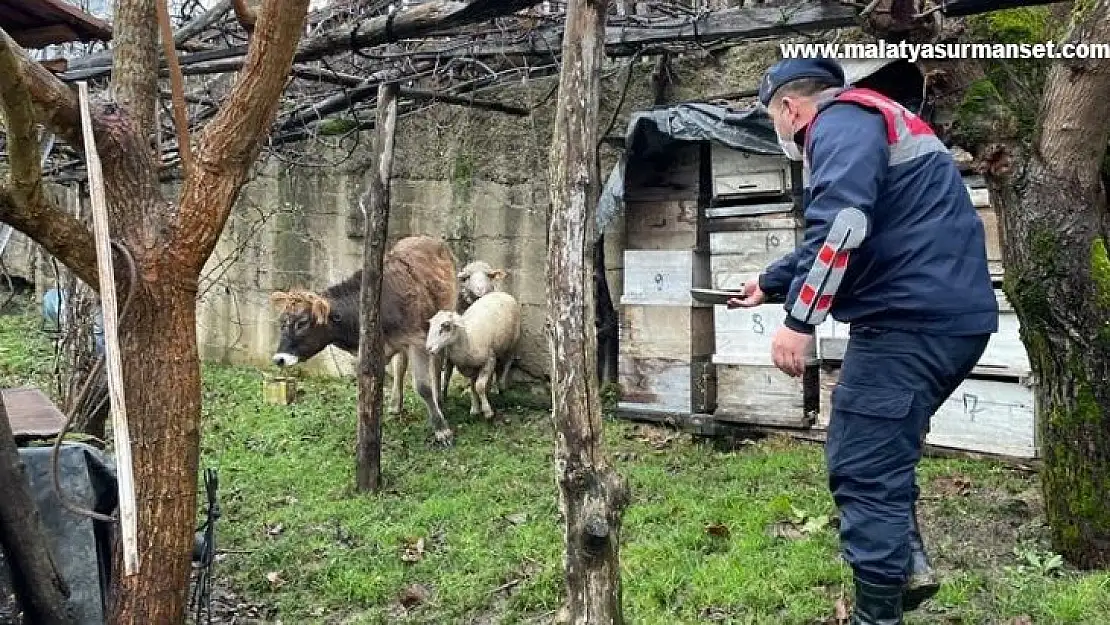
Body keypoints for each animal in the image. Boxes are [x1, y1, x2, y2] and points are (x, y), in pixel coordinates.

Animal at [269, 235, 459, 444]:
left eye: (302, 323)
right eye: (281, 322)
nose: (279, 359)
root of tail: (424, 238)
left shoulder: (417, 340)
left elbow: (423, 387)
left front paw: (442, 430)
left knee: (437, 361)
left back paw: (439, 397)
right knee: (400, 365)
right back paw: (395, 404)